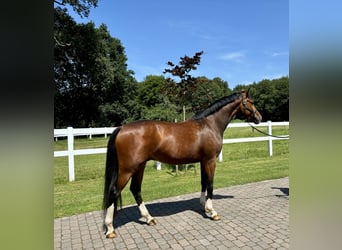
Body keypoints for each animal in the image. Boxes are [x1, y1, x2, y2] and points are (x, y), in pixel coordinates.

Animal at [101, 90, 262, 238]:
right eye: (251, 102)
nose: (259, 117)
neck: (210, 124)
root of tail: (121, 128)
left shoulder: (203, 161)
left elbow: (203, 183)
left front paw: (204, 207)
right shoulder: (210, 160)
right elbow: (210, 184)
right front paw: (212, 212)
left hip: (140, 167)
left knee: (135, 189)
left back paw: (149, 218)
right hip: (127, 170)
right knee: (114, 192)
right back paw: (110, 229)